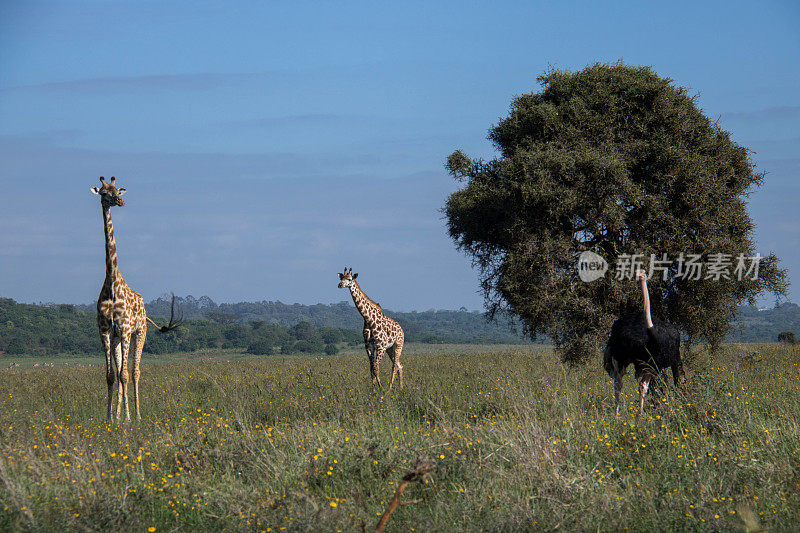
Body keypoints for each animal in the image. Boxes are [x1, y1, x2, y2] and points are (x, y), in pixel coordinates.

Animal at [90, 177, 180, 422]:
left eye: (117, 190)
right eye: (104, 193)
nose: (120, 201)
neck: (112, 283)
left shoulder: (125, 328)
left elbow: (124, 375)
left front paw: (129, 418)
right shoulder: (105, 331)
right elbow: (110, 375)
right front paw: (110, 417)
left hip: (139, 332)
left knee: (134, 372)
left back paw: (137, 415)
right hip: (119, 338)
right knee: (122, 371)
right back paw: (119, 414)